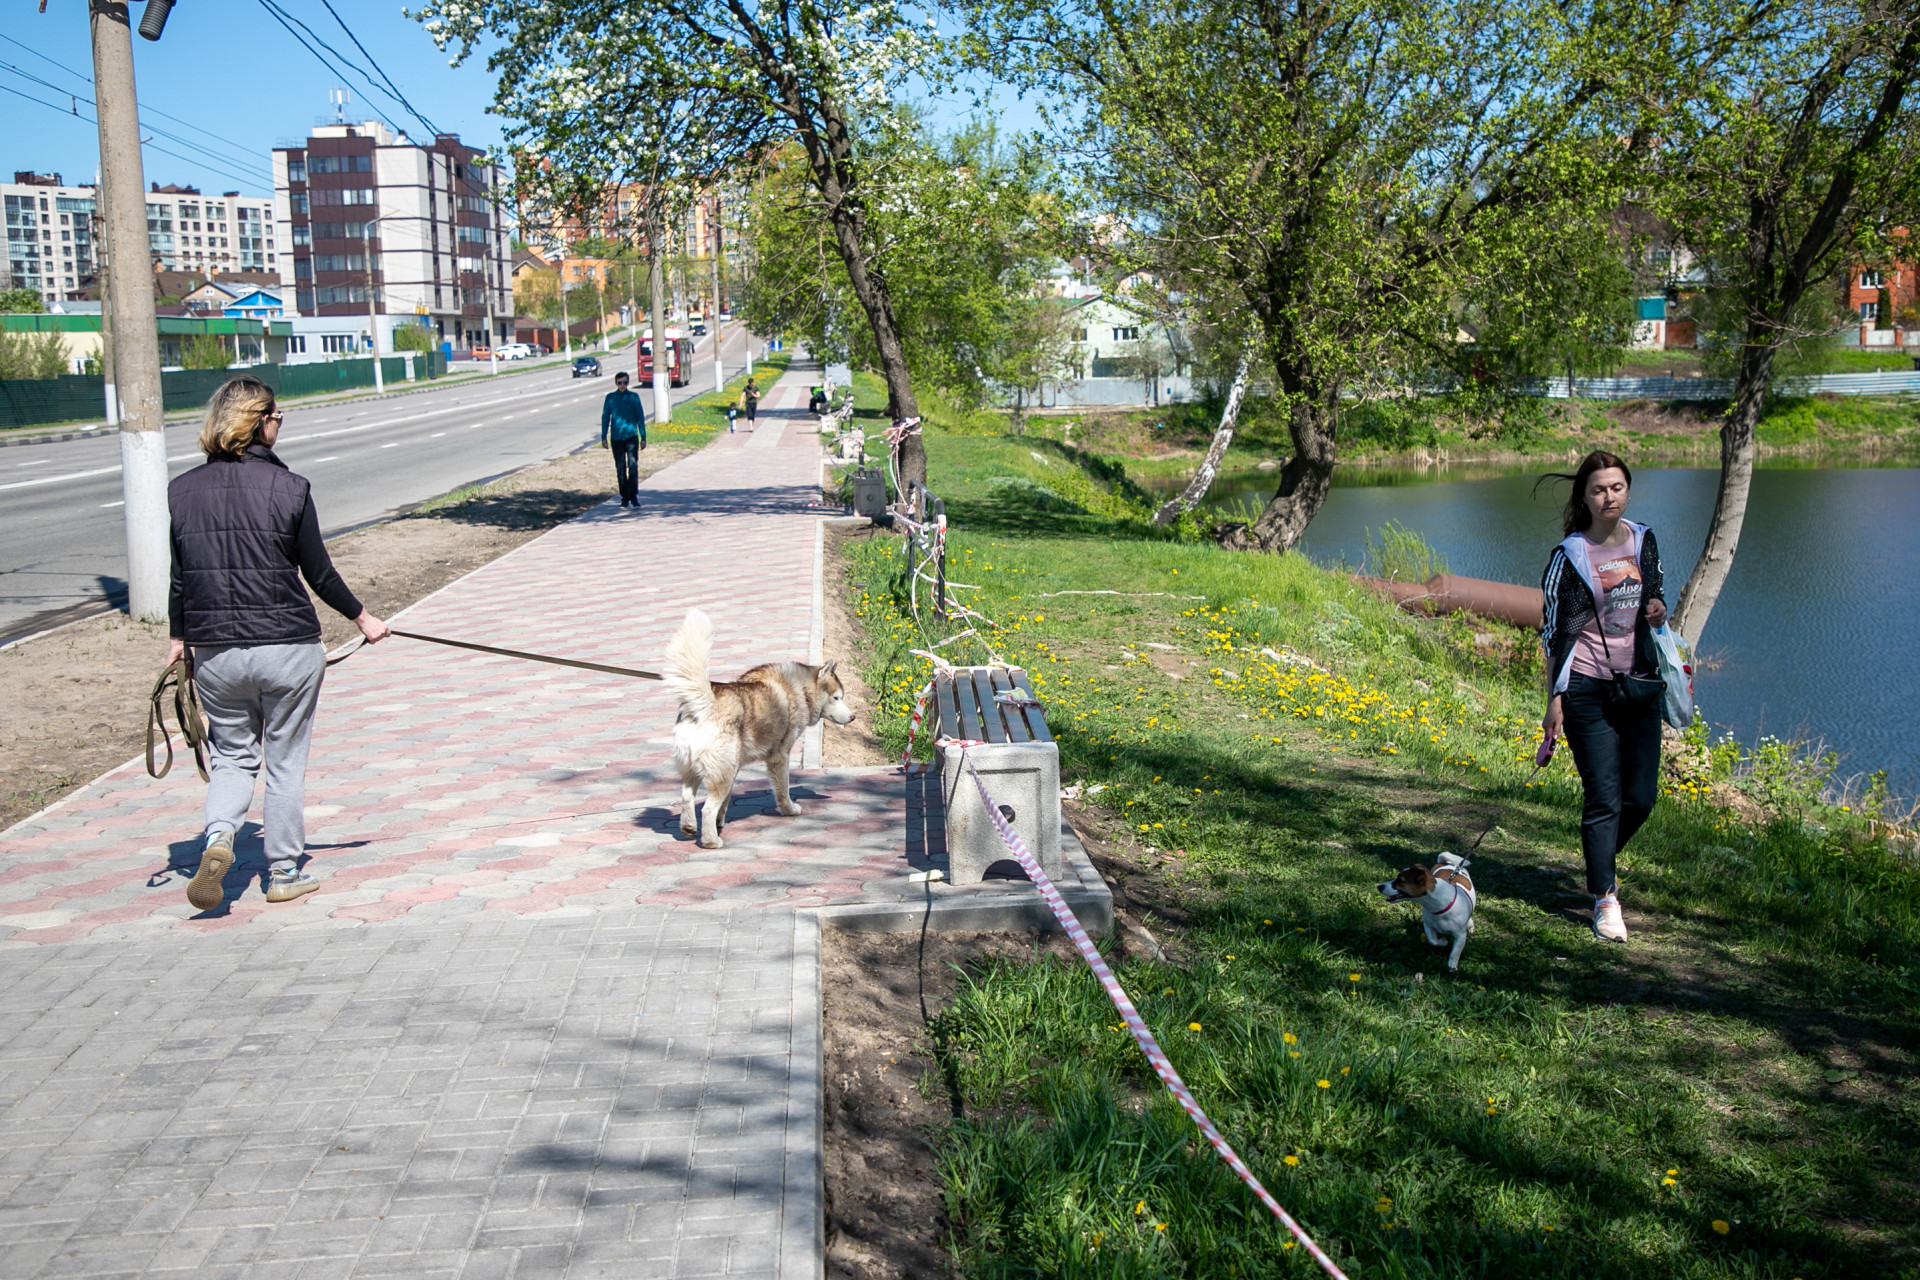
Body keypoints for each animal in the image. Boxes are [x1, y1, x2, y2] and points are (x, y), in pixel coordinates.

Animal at [664, 610, 852, 852]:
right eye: (837, 697)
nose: (852, 717)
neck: (800, 690)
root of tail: (705, 704)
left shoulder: (735, 768)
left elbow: (726, 801)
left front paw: (721, 820)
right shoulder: (779, 756)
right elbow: (783, 790)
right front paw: (790, 810)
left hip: (698, 768)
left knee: (687, 796)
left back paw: (689, 827)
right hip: (721, 773)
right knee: (706, 808)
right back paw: (711, 841)